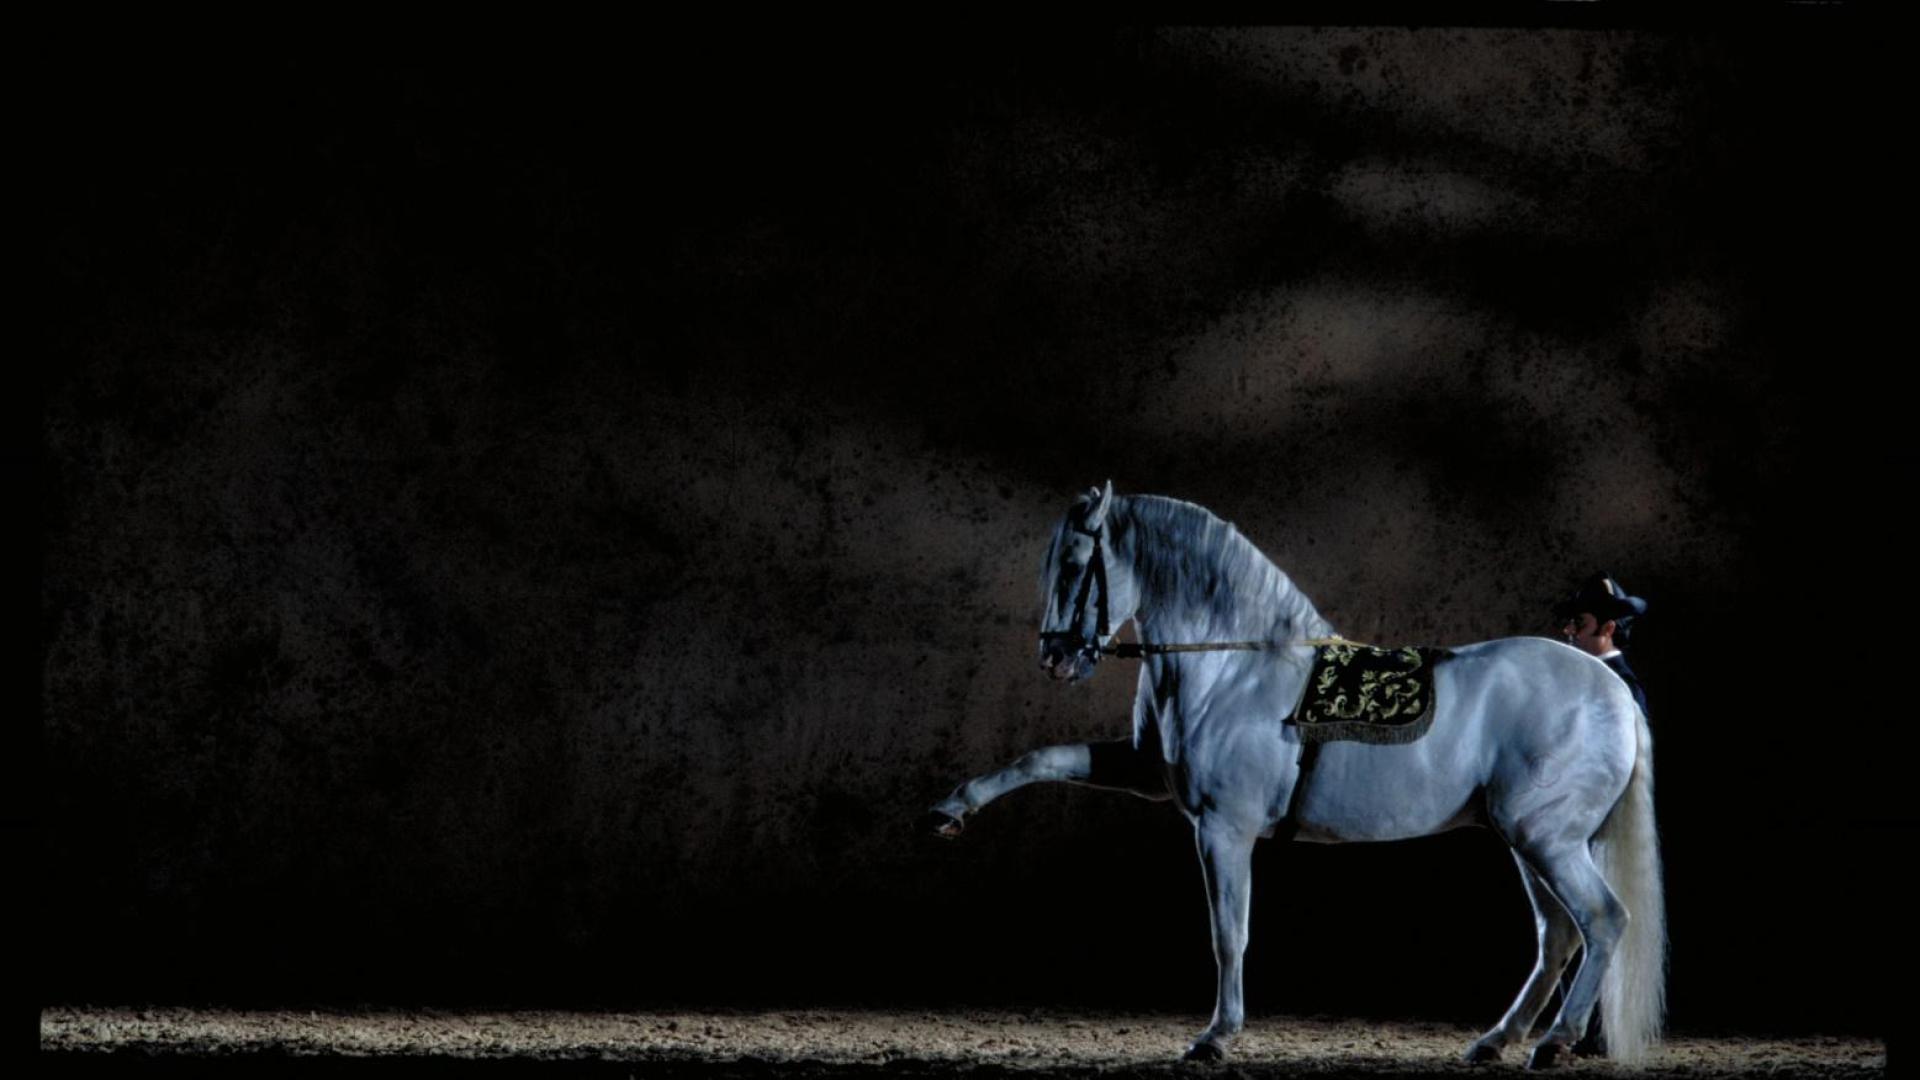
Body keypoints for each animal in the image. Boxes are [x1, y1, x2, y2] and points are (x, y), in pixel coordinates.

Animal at [923, 483, 1664, 1070]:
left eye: (1078, 564)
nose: (1056, 659)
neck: (1232, 663)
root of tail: (1611, 691)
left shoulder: (1224, 827)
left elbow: (1229, 932)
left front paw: (1215, 1038)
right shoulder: (1148, 772)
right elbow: (1041, 759)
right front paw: (952, 808)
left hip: (1546, 838)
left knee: (1602, 921)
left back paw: (1553, 1043)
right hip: (1527, 841)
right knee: (1558, 935)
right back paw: (1494, 1043)